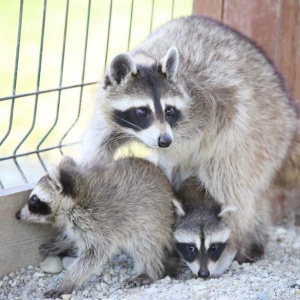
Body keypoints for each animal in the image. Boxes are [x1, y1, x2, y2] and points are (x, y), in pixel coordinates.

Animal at [16, 156, 175, 298]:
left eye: (34, 200)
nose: (17, 215)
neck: (75, 197)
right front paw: (66, 242)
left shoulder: (95, 220)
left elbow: (93, 254)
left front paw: (69, 281)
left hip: (153, 222)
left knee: (146, 247)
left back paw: (148, 271)